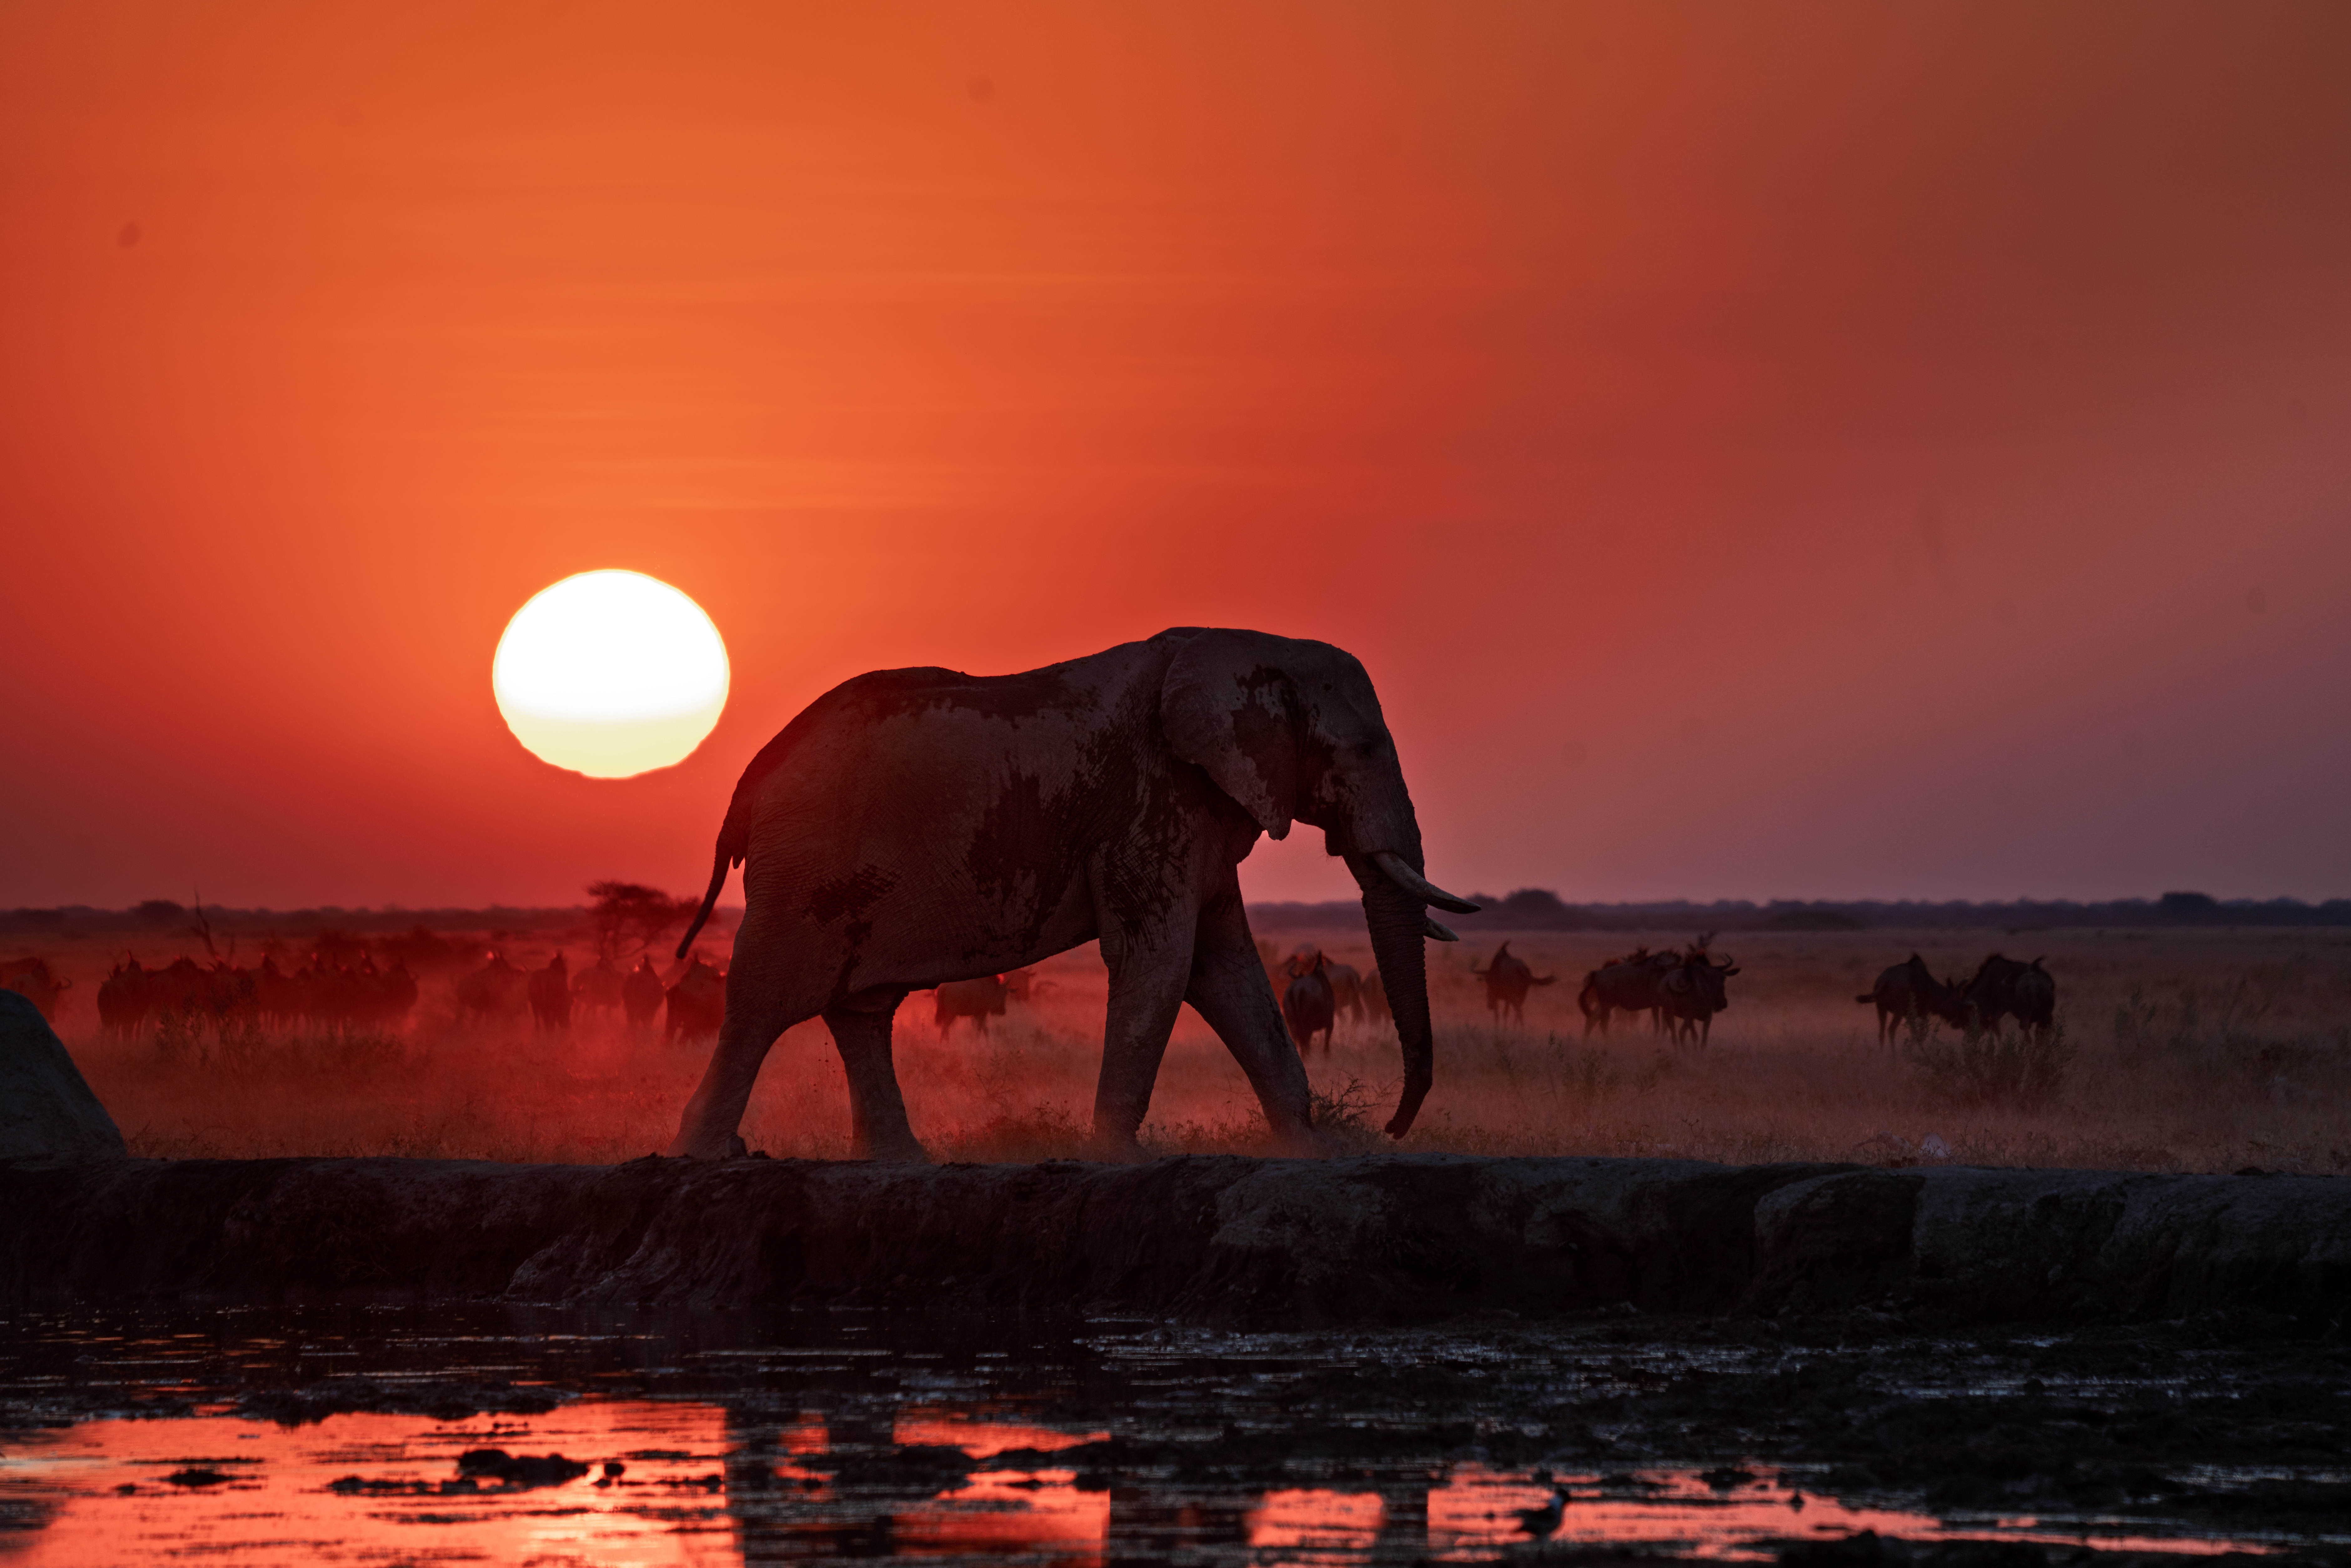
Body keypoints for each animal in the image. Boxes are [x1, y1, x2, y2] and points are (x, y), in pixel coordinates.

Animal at [663, 627, 1476, 1161]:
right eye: (1362, 749)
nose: (1391, 1128)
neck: (1245, 647)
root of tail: (746, 784)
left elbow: (1223, 967)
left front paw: (1308, 1148)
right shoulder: (1149, 802)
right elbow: (1162, 960)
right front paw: (1121, 1157)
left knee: (858, 1009)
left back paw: (901, 1162)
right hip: (803, 874)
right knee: (764, 1004)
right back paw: (702, 1156)